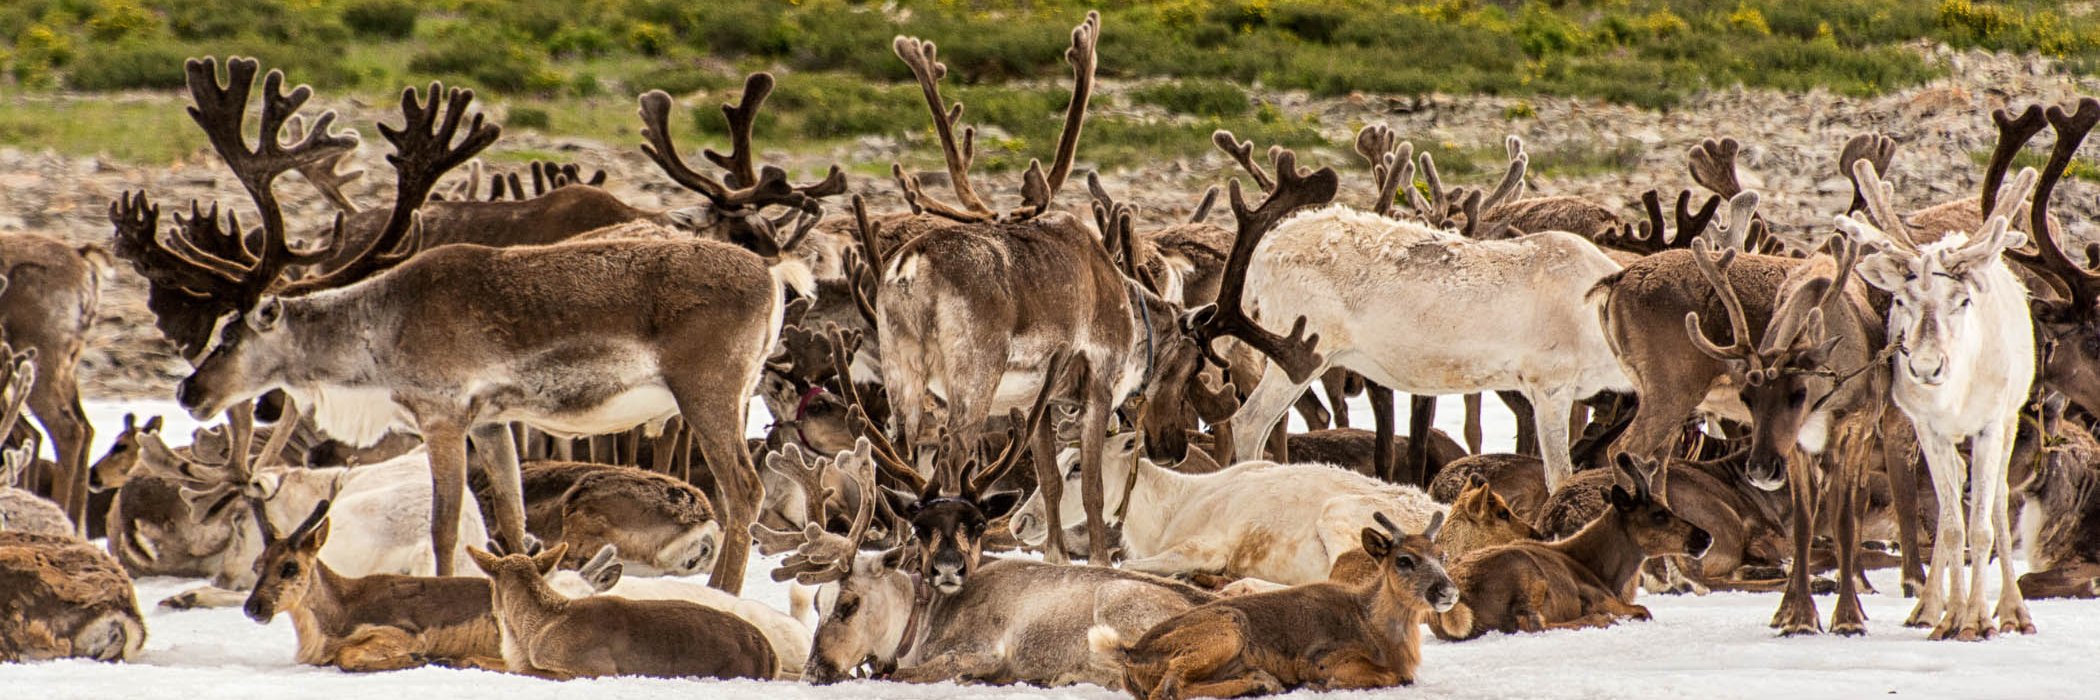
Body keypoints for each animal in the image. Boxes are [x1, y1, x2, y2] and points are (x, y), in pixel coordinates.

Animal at [142, 58, 829, 592]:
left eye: (230, 334)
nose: (188, 391)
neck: (375, 338)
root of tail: (775, 273)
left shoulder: (442, 413)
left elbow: (445, 524)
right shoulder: (494, 422)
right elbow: (515, 521)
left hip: (707, 389)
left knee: (742, 491)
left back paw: (724, 595)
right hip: (736, 391)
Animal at [239, 499, 507, 672]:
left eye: (290, 567)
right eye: (257, 566)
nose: (252, 607)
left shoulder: (406, 634)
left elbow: (344, 655)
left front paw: (415, 659)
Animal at [1093, 511, 1455, 699]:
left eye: (1443, 556)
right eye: (1404, 560)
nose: (1447, 590)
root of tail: (1130, 653)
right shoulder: (1322, 657)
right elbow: (1393, 677)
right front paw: (1321, 685)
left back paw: (1260, 681)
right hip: (1225, 629)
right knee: (1168, 688)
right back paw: (1262, 682)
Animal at [1429, 456, 1710, 641]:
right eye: (1659, 514)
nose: (1704, 536)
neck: (1606, 572)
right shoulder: (1600, 596)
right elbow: (1644, 610)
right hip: (1528, 574)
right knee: (1532, 623)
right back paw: (1600, 619)